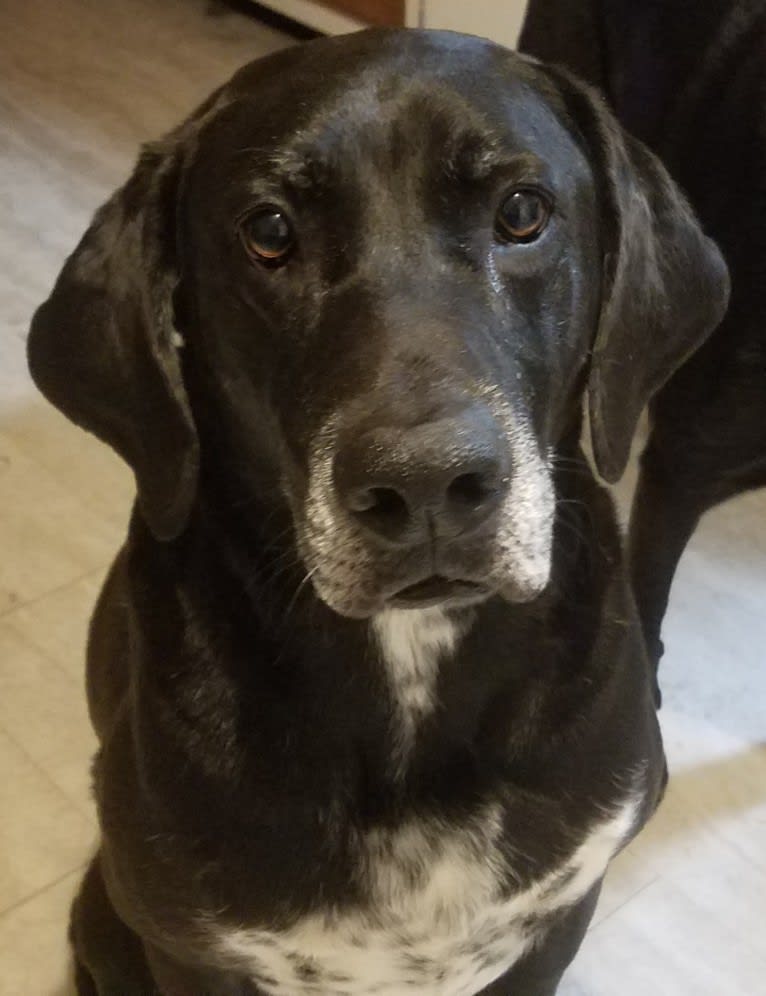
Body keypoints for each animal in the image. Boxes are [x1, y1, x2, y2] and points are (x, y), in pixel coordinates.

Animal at [25, 27, 732, 996]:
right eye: (269, 232)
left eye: (523, 212)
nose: (427, 483)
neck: (410, 670)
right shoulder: (187, 947)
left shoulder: (556, 915)